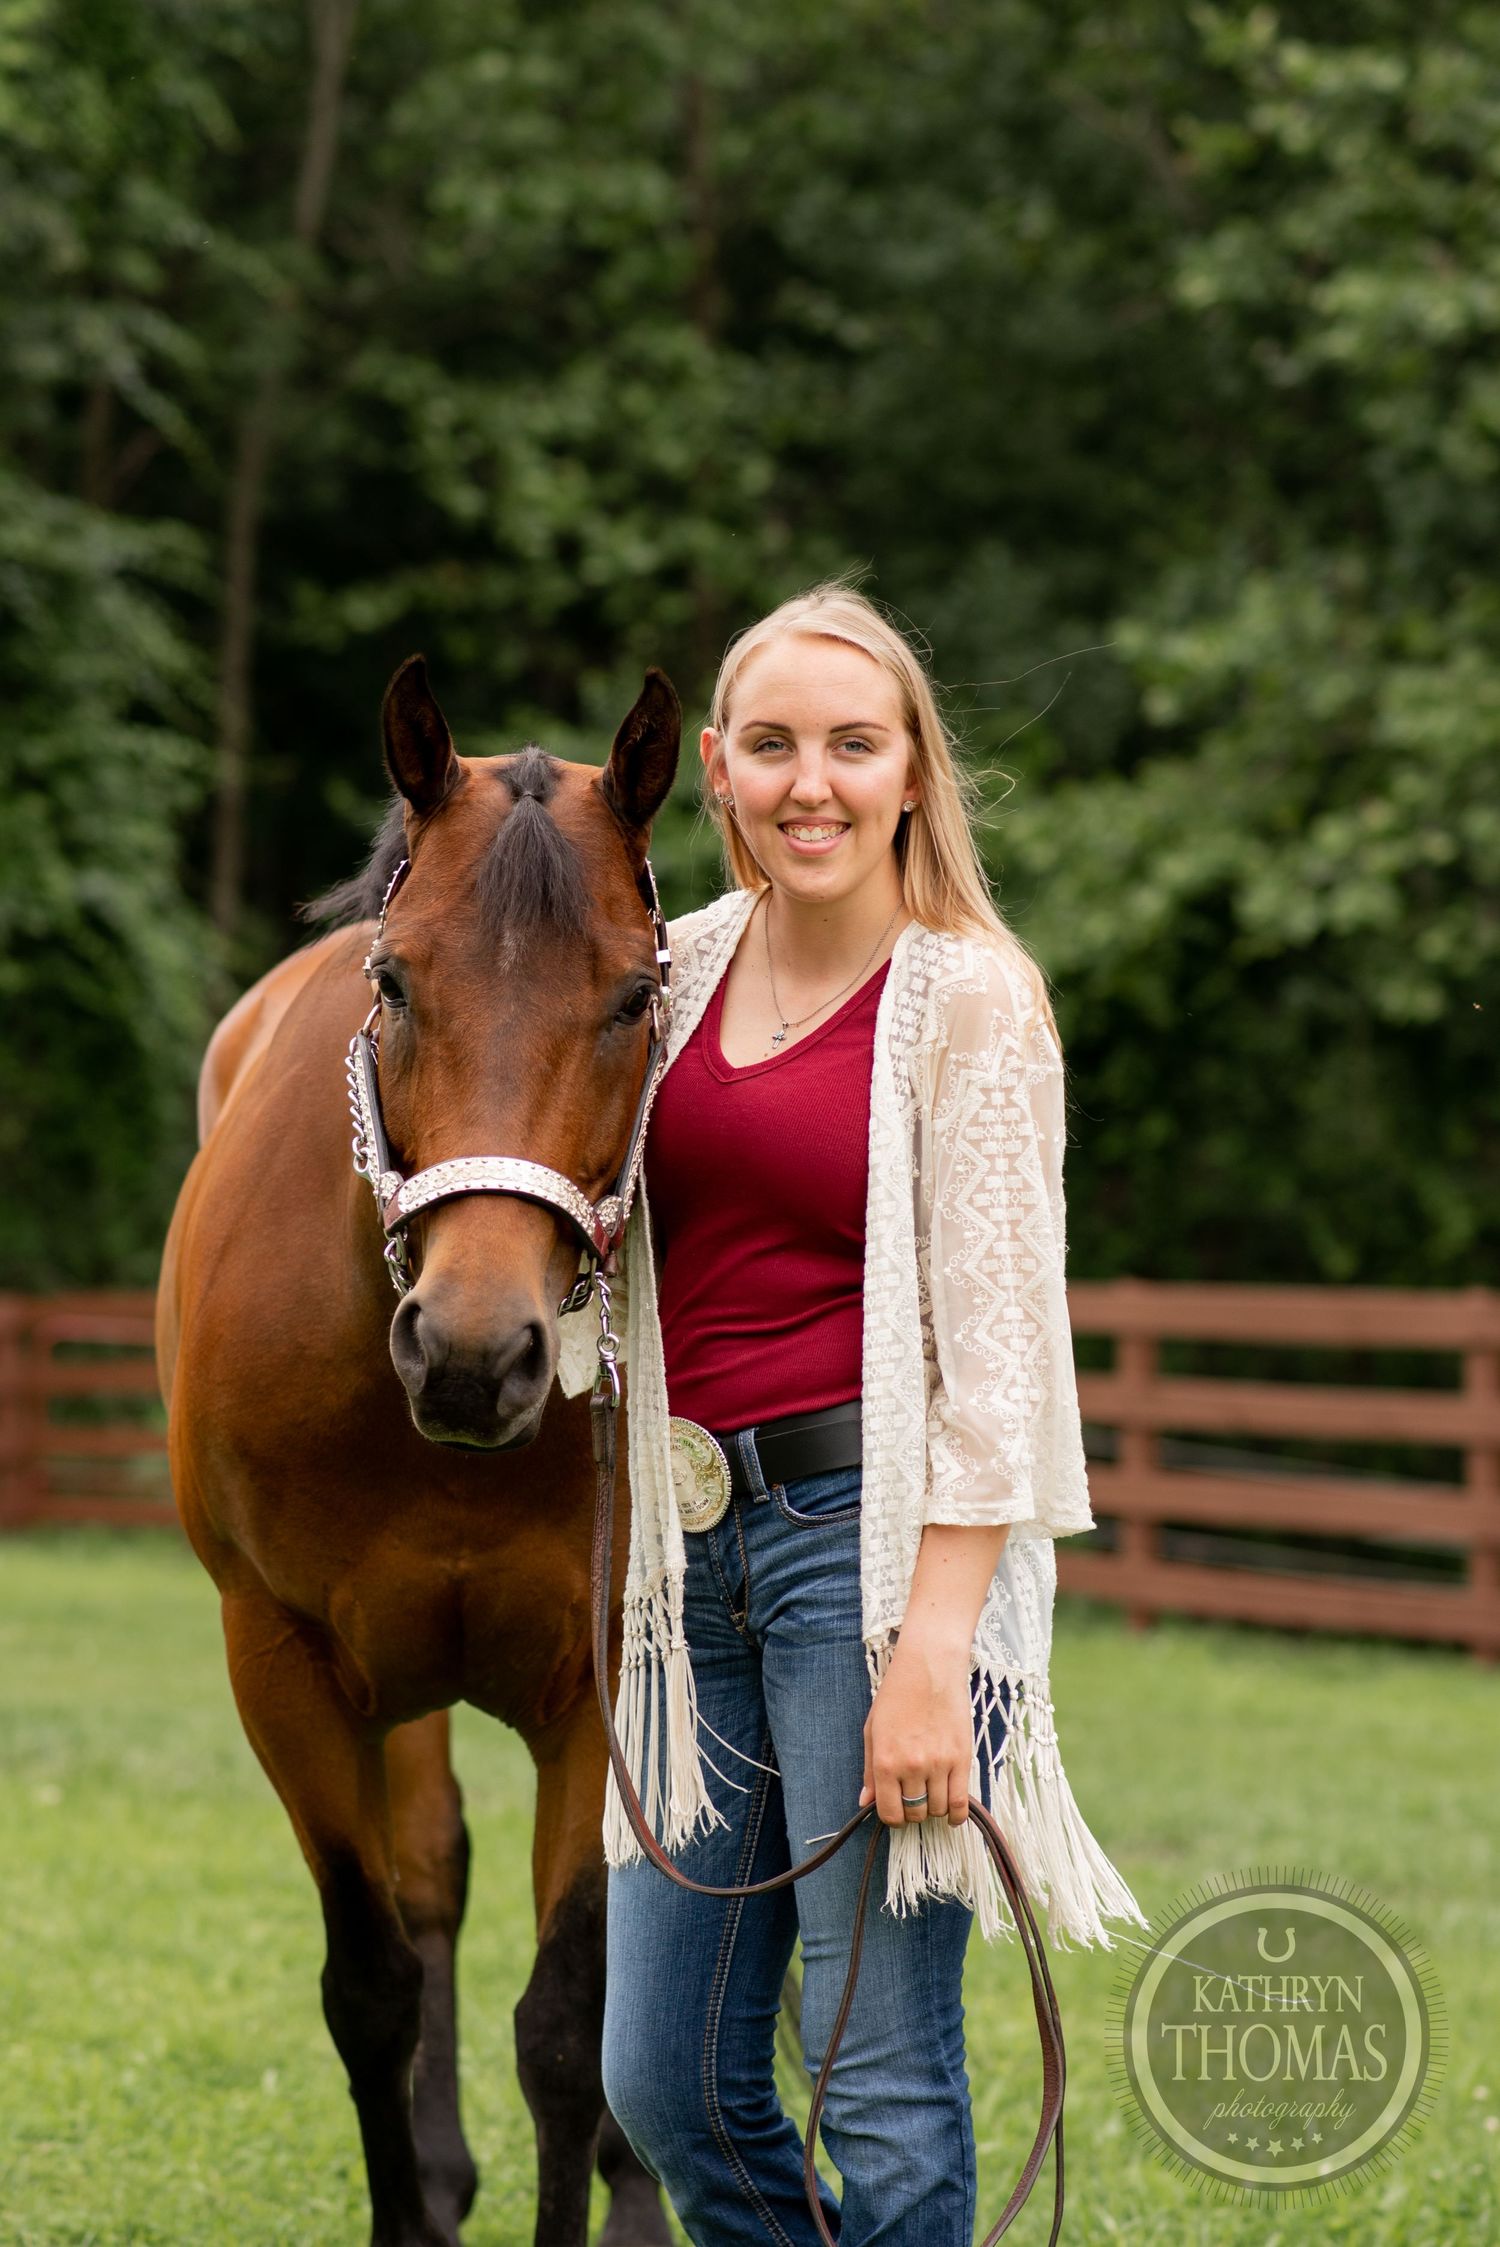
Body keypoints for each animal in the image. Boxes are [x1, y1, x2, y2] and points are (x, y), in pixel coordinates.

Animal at [155, 655, 681, 2247]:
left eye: (634, 995)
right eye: (394, 983)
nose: (471, 1349)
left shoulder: (598, 1686)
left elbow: (571, 2023)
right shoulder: (281, 1662)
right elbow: (374, 1982)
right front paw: (415, 2196)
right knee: (432, 1873)